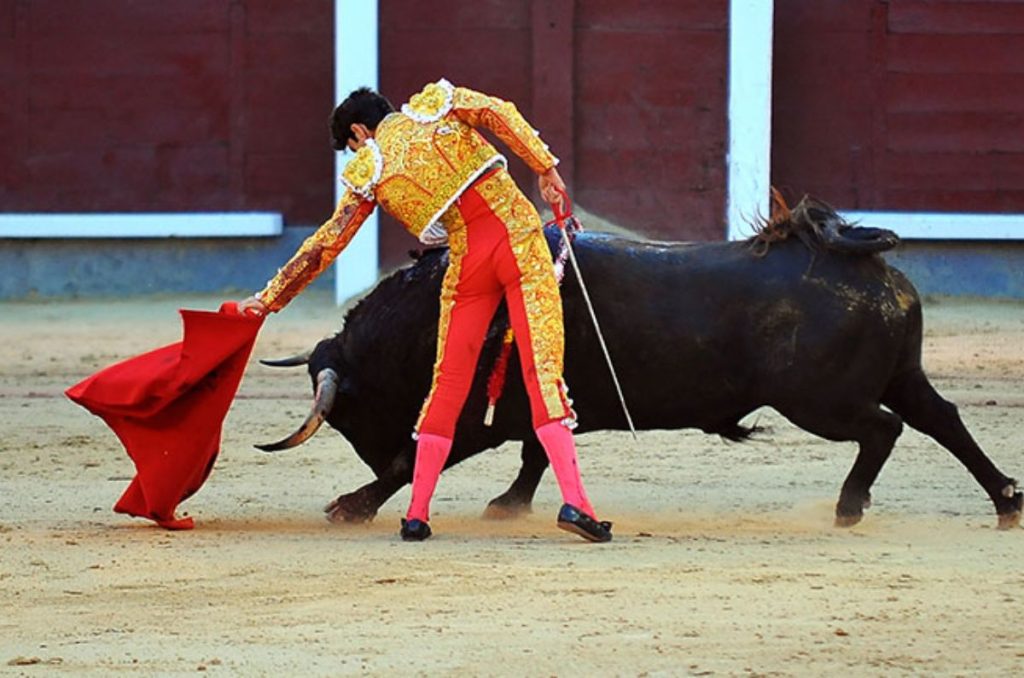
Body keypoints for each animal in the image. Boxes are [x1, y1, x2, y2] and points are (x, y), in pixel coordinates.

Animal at [260, 209, 1019, 528]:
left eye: (352, 414)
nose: (364, 458)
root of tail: (871, 267)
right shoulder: (532, 407)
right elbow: (538, 453)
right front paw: (510, 505)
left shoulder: (477, 416)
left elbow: (426, 458)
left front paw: (351, 505)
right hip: (900, 374)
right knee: (942, 420)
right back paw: (1006, 501)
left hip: (821, 402)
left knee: (885, 430)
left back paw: (848, 507)